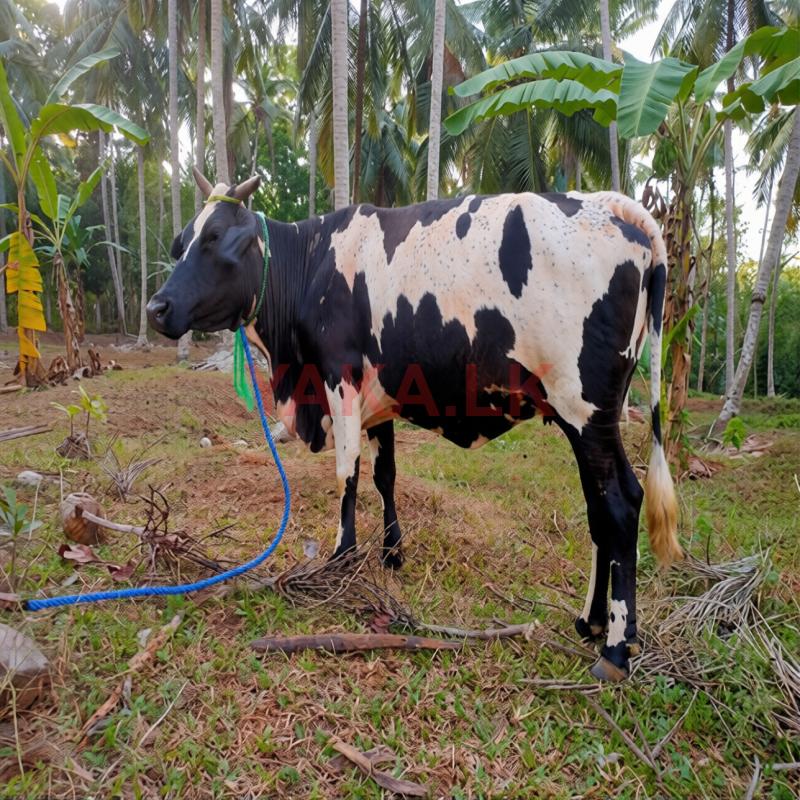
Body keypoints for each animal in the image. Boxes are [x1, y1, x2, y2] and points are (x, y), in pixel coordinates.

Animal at [147, 168, 681, 681]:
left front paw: (341, 558)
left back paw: (614, 649)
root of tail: (611, 204)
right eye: (181, 241)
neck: (312, 264)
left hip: (585, 411)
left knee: (618, 505)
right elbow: (385, 475)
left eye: (214, 237)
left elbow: (346, 474)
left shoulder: (340, 377)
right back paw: (593, 622)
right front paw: (391, 553)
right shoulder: (380, 397)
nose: (156, 308)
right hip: (586, 418)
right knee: (603, 507)